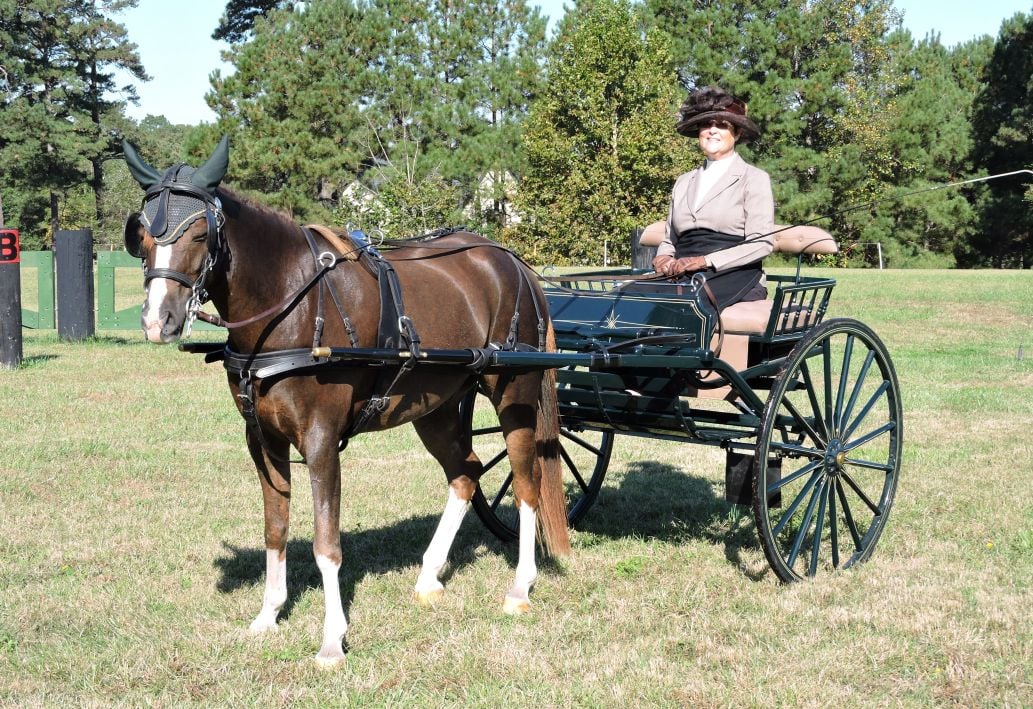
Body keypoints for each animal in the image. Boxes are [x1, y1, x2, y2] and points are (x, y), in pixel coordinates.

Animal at [121, 137, 574, 665]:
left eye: (198, 235)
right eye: (142, 237)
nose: (159, 321)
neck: (291, 305)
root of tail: (514, 263)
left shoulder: (320, 441)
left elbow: (326, 545)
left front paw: (332, 639)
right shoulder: (262, 441)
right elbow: (275, 530)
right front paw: (268, 614)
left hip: (514, 396)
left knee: (526, 484)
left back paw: (519, 588)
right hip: (437, 407)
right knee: (466, 473)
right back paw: (428, 576)